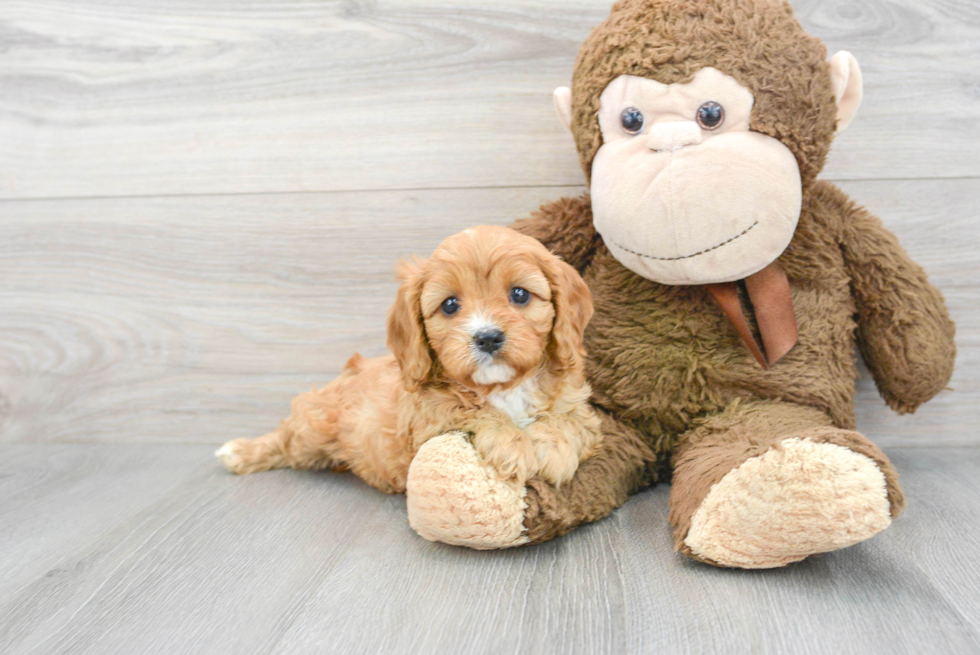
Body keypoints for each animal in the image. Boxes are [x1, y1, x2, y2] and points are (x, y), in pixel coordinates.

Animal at [217, 226, 600, 492]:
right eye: (450, 304)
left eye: (520, 294)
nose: (488, 337)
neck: (504, 387)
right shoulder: (426, 419)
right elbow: (473, 410)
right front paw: (513, 445)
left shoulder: (580, 408)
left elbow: (569, 419)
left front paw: (553, 448)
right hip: (315, 426)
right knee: (286, 438)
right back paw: (240, 451)